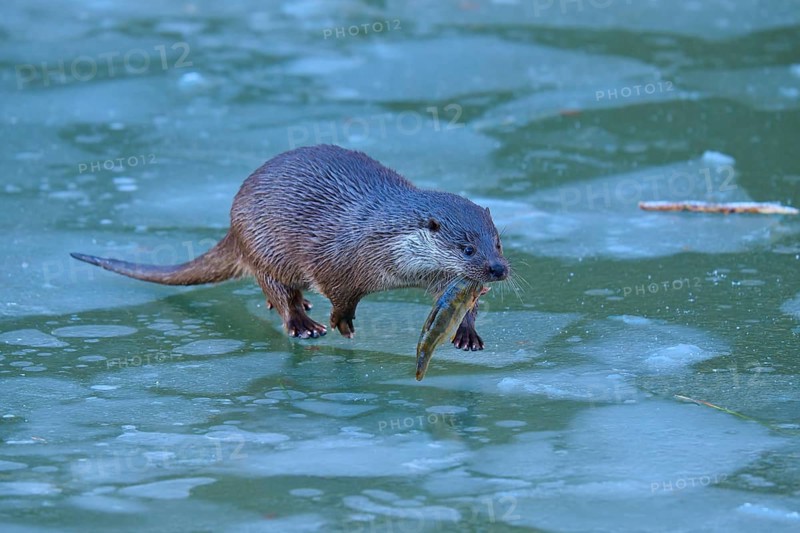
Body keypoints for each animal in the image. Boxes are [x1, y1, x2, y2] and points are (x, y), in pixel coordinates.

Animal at [71, 144, 509, 350]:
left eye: (497, 242)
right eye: (467, 249)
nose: (498, 269)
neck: (379, 237)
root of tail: (233, 222)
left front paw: (467, 333)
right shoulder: (337, 263)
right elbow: (340, 296)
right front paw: (342, 324)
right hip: (265, 247)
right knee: (277, 288)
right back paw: (303, 325)